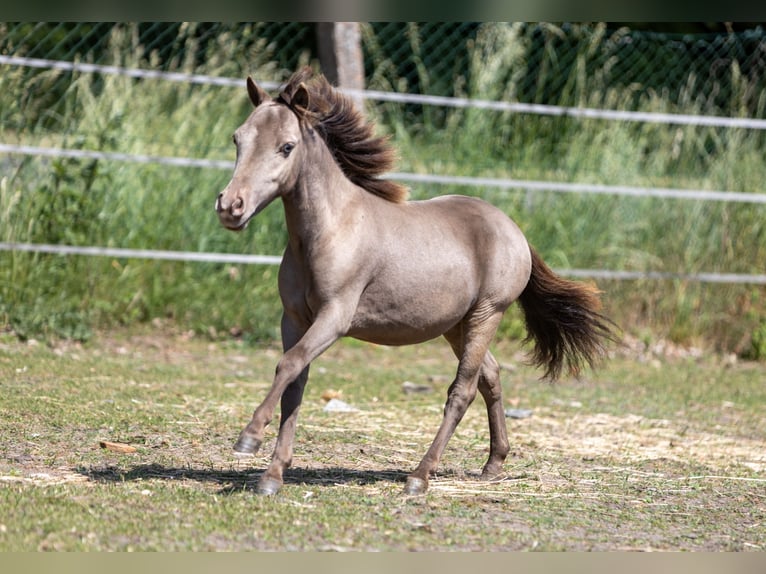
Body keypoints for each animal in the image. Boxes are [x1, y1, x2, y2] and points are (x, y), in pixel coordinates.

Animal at [215, 67, 616, 496]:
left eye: (287, 147)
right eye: (238, 138)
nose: (230, 206)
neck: (329, 230)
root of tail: (513, 229)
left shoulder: (335, 317)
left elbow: (287, 365)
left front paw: (249, 438)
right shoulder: (293, 319)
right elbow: (295, 382)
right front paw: (272, 476)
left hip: (487, 315)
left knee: (463, 390)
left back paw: (419, 477)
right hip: (456, 325)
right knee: (490, 376)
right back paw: (493, 463)